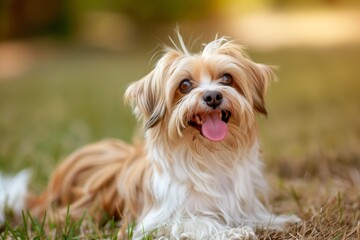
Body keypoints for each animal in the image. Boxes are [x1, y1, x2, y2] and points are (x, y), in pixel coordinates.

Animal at [0, 32, 298, 239]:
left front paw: (276, 220)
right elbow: (195, 222)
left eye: (226, 78)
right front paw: (232, 231)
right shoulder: (151, 224)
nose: (213, 96)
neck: (207, 155)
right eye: (185, 85)